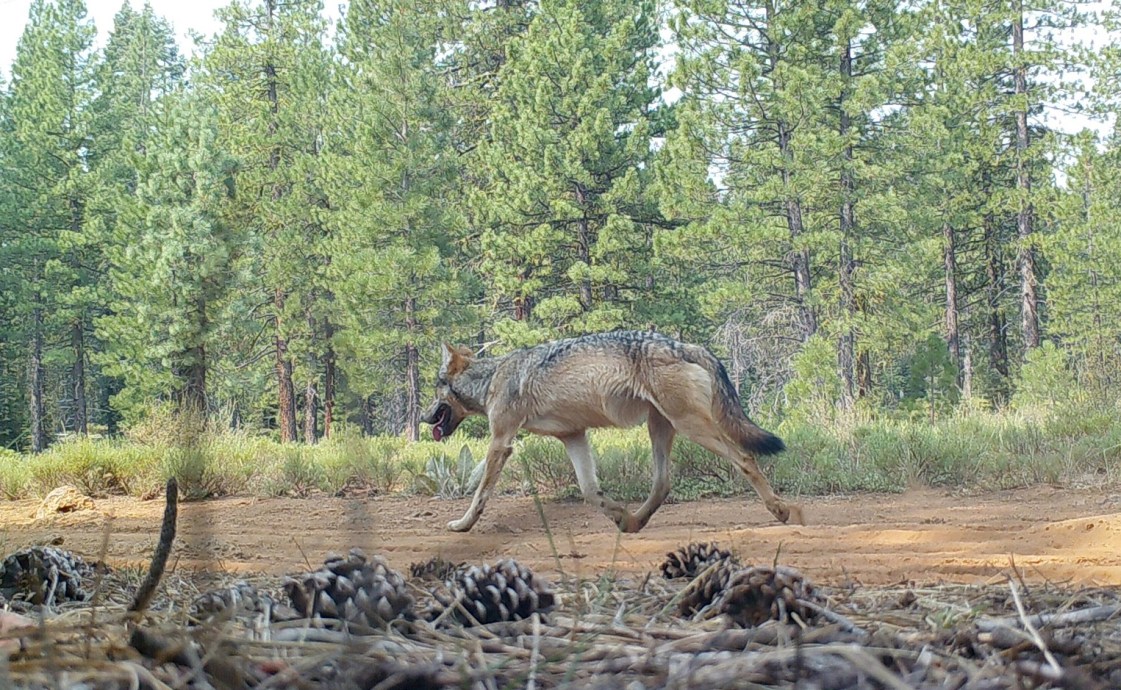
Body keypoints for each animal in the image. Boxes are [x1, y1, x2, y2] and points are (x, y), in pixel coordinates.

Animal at [420, 330, 803, 533]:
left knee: (745, 458)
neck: (490, 379)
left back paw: (782, 511)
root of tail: (684, 345)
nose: (424, 418)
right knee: (663, 483)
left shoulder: (501, 442)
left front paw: (462, 525)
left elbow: (479, 495)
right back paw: (633, 522)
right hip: (660, 429)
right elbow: (590, 492)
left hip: (692, 427)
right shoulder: (574, 436)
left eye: (434, 389)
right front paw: (617, 512)